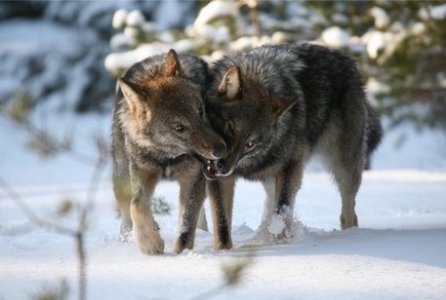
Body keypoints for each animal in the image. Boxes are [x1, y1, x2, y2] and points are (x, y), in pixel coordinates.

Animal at [111, 48, 226, 253]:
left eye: (200, 110)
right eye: (179, 127)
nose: (221, 149)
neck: (168, 157)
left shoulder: (194, 176)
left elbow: (188, 214)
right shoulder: (144, 172)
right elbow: (136, 205)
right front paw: (150, 243)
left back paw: (203, 233)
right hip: (121, 177)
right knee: (126, 210)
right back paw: (127, 237)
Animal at [204, 41, 382, 244]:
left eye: (250, 143)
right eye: (230, 129)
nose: (222, 167)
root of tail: (346, 59)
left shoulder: (290, 166)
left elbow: (282, 209)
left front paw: (281, 242)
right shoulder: (219, 179)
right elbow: (221, 223)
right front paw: (224, 249)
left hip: (344, 169)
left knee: (348, 212)